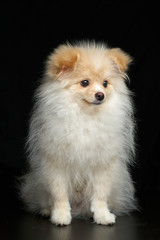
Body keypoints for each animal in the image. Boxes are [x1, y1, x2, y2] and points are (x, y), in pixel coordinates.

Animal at [20, 40, 137, 226]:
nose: (100, 95)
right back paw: (46, 211)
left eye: (105, 83)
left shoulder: (103, 165)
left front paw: (103, 216)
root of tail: (79, 209)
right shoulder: (56, 163)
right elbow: (59, 193)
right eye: (84, 83)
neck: (85, 116)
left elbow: (100, 195)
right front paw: (60, 216)